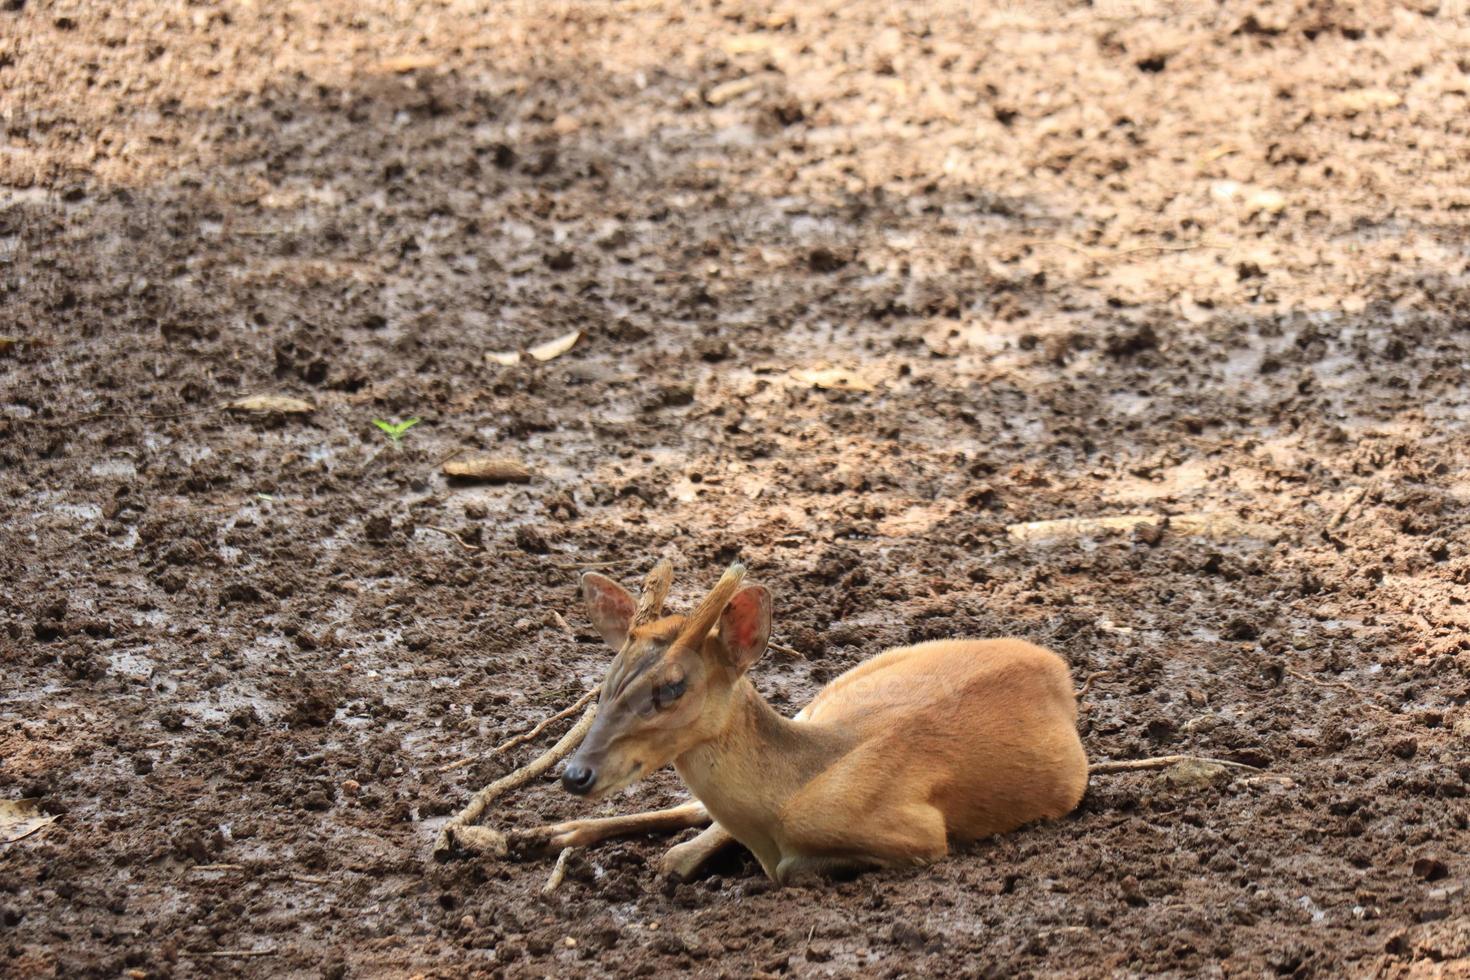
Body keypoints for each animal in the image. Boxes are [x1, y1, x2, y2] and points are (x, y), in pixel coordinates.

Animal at [529, 558, 1093, 887]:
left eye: (671, 687)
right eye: (606, 680)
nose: (575, 774)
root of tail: (1052, 661)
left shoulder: (922, 834)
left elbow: (786, 868)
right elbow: (687, 849)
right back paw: (551, 832)